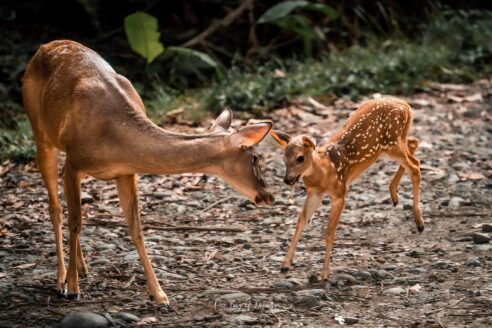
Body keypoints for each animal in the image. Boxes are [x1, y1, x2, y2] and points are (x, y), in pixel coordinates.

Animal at [23, 40, 274, 304]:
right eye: (255, 158)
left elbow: (136, 229)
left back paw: (82, 267)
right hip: (40, 134)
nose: (269, 195)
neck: (115, 137)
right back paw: (62, 278)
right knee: (56, 208)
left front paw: (160, 295)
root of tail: (43, 47)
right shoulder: (73, 163)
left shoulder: (126, 172)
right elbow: (75, 223)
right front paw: (72, 287)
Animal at [270, 97, 422, 280]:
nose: (287, 179)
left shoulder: (340, 193)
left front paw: (325, 273)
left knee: (415, 165)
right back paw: (394, 195)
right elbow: (301, 221)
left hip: (393, 143)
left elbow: (329, 232)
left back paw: (419, 222)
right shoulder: (314, 193)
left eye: (300, 158)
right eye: (284, 158)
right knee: (414, 144)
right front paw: (285, 265)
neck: (324, 170)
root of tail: (405, 105)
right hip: (395, 143)